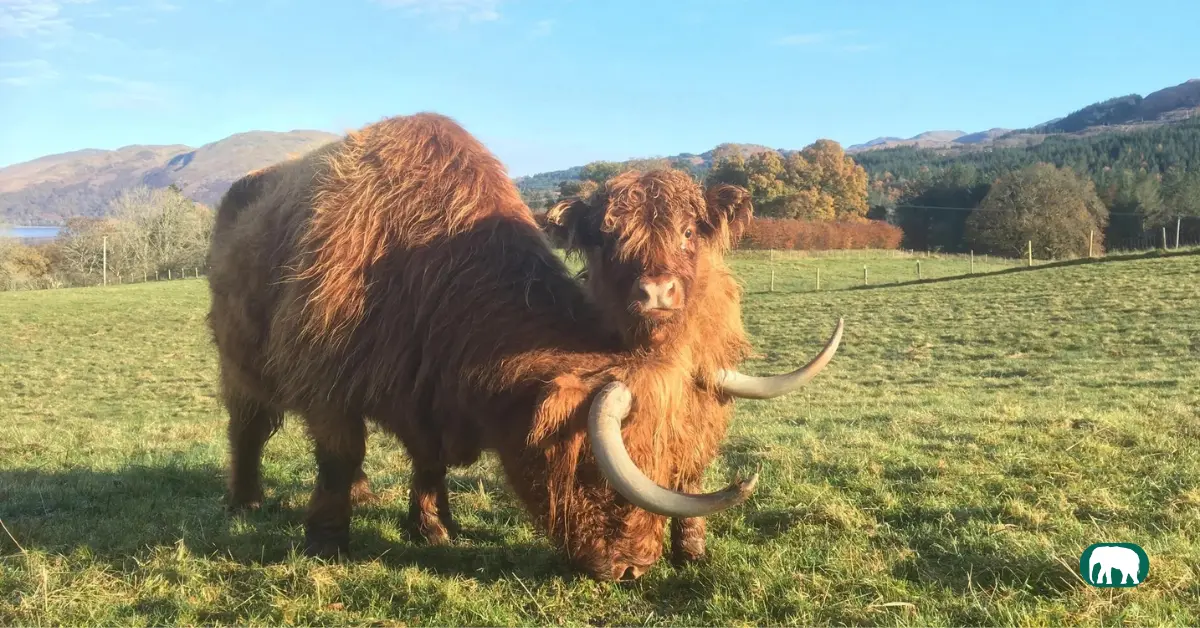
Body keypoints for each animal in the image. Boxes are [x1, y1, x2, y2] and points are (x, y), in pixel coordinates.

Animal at [206, 112, 840, 581]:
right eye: (593, 473)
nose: (634, 567)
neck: (425, 270)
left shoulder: (424, 391)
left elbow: (427, 461)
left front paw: (433, 528)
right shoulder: (326, 379)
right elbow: (340, 454)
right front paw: (328, 539)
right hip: (238, 363)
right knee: (248, 427)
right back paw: (247, 500)